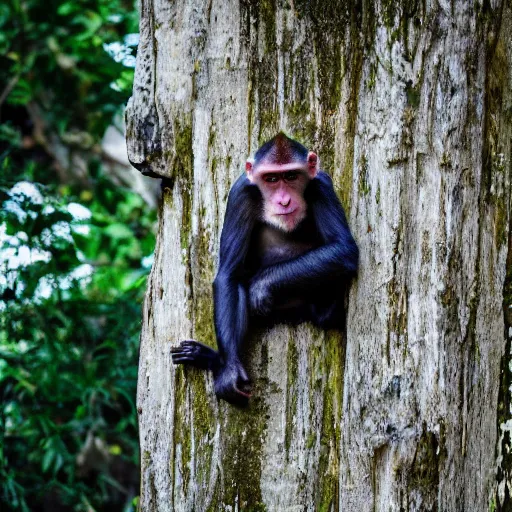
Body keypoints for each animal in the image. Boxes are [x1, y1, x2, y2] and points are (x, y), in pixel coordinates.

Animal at [170, 132, 358, 404]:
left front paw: (263, 284)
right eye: (271, 179)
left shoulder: (322, 186)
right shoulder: (240, 194)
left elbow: (343, 249)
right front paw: (229, 372)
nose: (284, 199)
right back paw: (215, 361)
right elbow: (228, 274)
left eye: (291, 176)